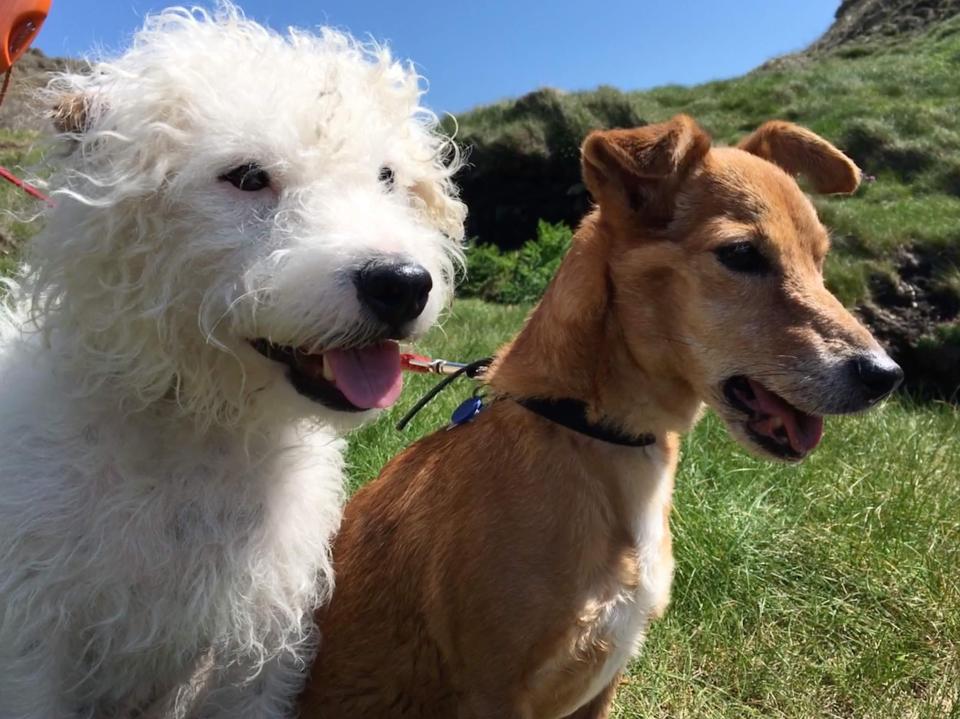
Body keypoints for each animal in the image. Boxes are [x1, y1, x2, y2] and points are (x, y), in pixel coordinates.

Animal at [0, 4, 464, 716]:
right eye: (247, 177)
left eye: (387, 178)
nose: (402, 283)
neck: (193, 422)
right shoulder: (32, 643)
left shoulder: (254, 646)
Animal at [300, 116, 900, 719]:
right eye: (741, 254)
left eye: (820, 261)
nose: (886, 375)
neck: (588, 430)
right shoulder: (494, 691)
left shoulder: (602, 682)